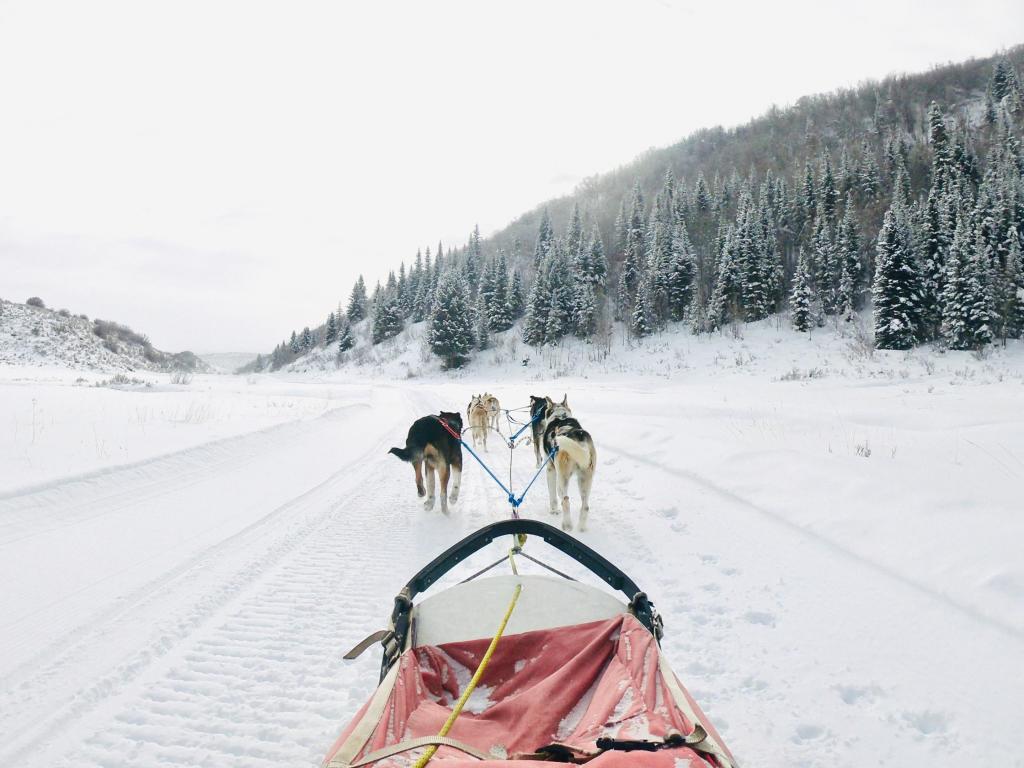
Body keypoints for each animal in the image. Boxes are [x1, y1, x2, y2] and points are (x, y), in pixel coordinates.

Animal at [540, 399, 598, 532]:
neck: (560, 417)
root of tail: (578, 435)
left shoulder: (551, 470)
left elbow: (553, 495)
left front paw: (554, 511)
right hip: (585, 479)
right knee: (585, 506)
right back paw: (581, 528)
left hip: (564, 477)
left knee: (566, 501)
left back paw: (567, 525)